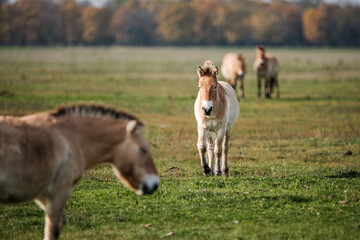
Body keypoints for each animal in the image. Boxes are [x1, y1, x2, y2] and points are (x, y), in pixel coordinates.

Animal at [0, 104, 159, 240]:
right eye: (143, 150)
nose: (155, 184)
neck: (71, 137)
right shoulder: (58, 193)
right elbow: (52, 230)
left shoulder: (43, 194)